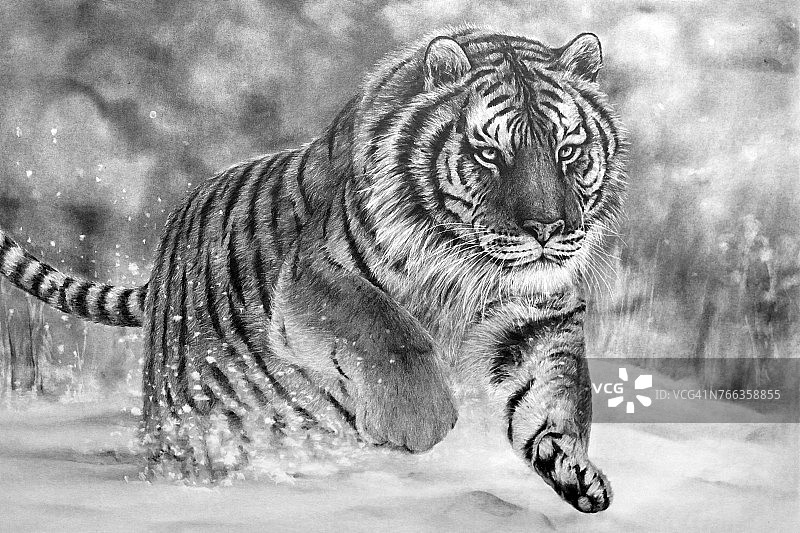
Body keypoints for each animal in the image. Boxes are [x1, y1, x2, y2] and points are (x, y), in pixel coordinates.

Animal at [0, 26, 627, 513]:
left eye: (568, 150)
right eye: (490, 154)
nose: (547, 229)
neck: (473, 268)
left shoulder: (539, 319)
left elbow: (558, 391)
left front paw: (574, 470)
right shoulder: (319, 277)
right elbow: (389, 332)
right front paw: (420, 426)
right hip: (186, 414)